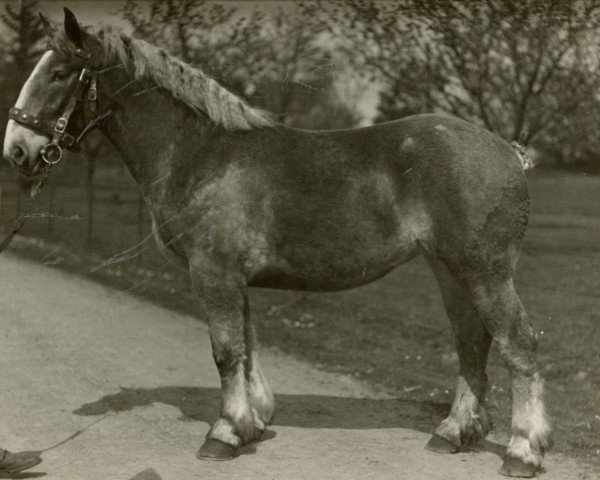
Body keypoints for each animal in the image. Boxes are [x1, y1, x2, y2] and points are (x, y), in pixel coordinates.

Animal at [2, 9, 552, 478]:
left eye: (59, 74)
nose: (17, 151)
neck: (200, 154)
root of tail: (509, 151)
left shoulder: (216, 274)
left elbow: (226, 351)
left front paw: (224, 434)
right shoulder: (233, 278)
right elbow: (245, 346)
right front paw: (252, 422)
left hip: (483, 272)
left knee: (519, 344)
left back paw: (523, 450)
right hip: (449, 271)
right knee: (472, 343)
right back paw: (453, 432)